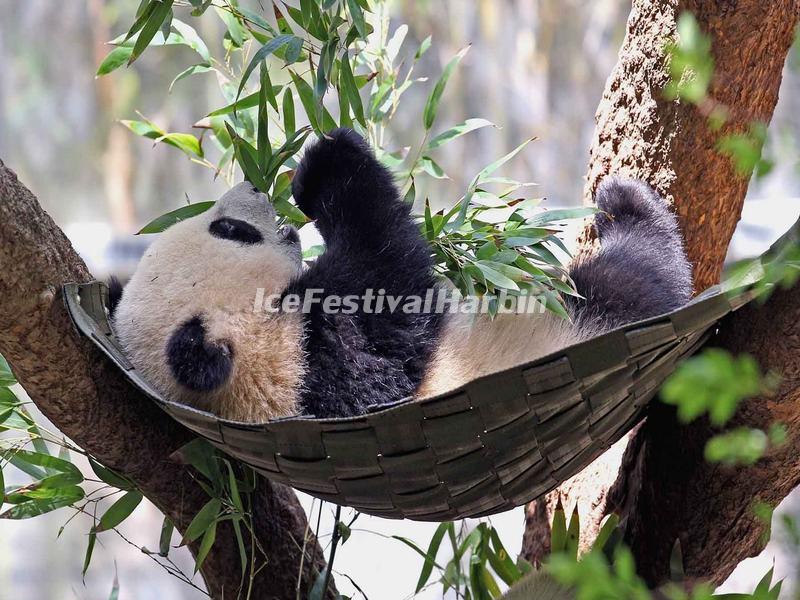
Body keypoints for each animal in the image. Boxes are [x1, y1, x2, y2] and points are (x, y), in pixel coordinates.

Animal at [111, 128, 691, 422]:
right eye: (230, 230)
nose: (253, 188)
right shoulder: (326, 353)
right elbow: (389, 268)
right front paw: (325, 161)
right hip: (572, 320)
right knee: (633, 278)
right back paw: (628, 205)